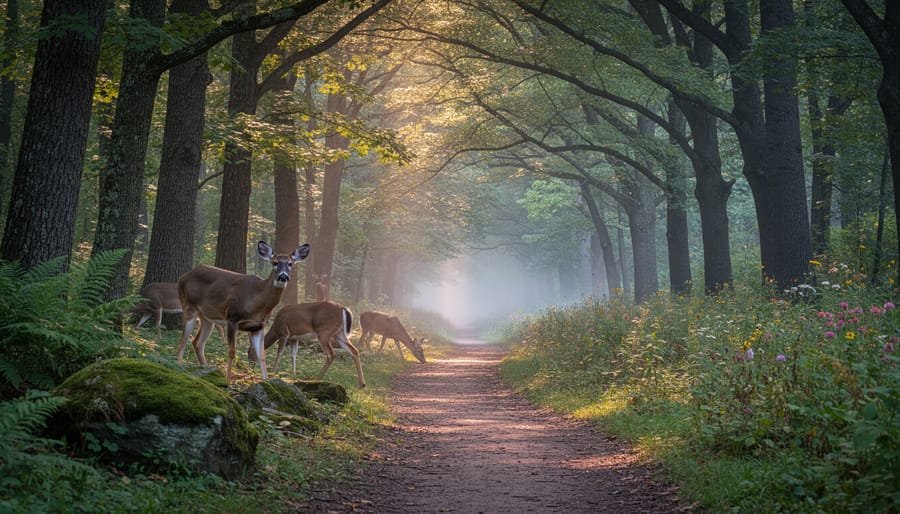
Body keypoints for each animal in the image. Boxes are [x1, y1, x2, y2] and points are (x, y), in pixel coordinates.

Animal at [176, 240, 310, 384]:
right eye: (275, 262)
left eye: (290, 263)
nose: (283, 276)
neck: (257, 303)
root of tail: (183, 277)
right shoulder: (232, 318)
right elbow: (232, 352)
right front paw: (228, 380)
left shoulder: (258, 327)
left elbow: (261, 356)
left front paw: (267, 381)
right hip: (189, 305)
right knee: (183, 341)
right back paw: (180, 368)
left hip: (207, 317)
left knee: (198, 342)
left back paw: (206, 369)